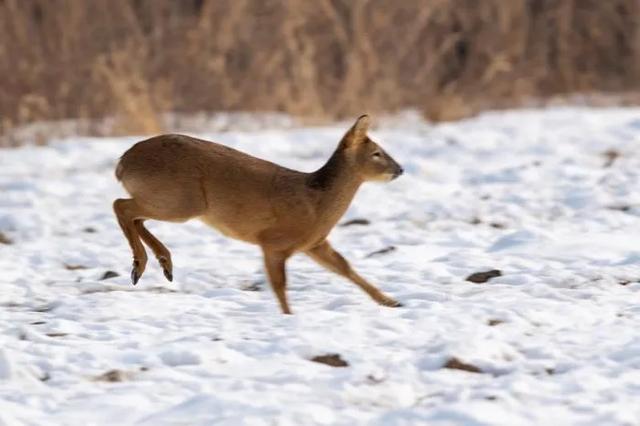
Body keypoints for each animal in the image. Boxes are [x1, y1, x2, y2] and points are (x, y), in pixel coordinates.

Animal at [114, 115, 404, 314]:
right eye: (377, 153)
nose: (400, 169)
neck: (317, 202)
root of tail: (122, 163)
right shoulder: (273, 242)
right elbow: (279, 284)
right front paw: (288, 316)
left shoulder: (314, 243)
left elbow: (345, 267)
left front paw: (390, 301)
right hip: (182, 201)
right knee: (121, 205)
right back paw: (141, 265)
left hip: (171, 200)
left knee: (134, 214)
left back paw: (163, 263)